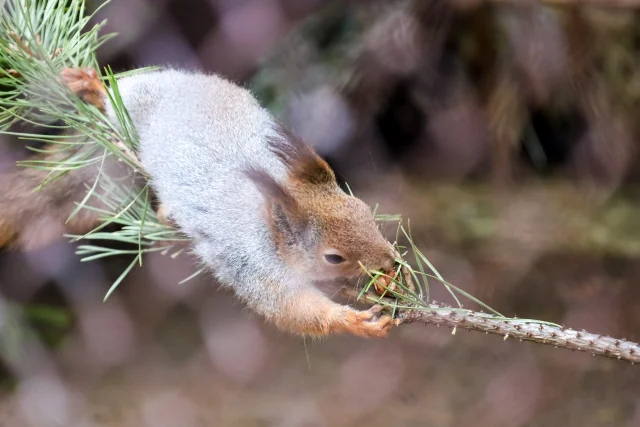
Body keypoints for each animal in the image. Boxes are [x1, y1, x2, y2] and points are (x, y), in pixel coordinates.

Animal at [0, 67, 403, 338]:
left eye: (365, 212)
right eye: (334, 257)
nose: (390, 259)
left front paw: (387, 280)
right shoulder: (251, 264)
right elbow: (289, 309)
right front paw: (352, 321)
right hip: (138, 99)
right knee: (115, 100)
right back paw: (93, 88)